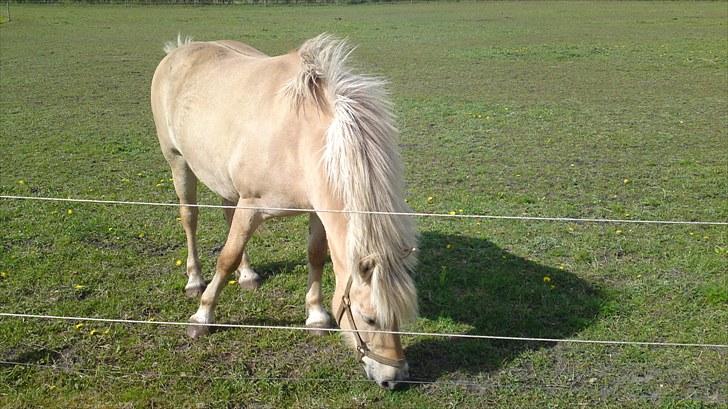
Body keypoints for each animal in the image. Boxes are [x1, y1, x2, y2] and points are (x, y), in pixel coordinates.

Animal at [150, 33, 418, 388]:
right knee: (190, 218)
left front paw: (316, 315)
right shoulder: (252, 205)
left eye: (401, 316)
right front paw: (202, 316)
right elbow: (226, 257)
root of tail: (179, 50)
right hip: (179, 163)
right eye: (370, 318)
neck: (300, 140)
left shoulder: (316, 211)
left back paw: (248, 275)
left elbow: (315, 255)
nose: (394, 377)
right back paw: (194, 280)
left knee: (226, 215)